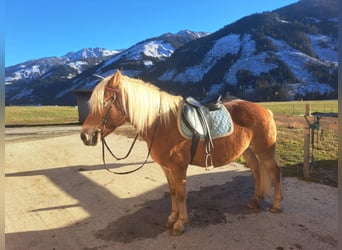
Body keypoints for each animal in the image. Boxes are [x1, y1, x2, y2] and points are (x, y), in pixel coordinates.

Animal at [81, 71, 284, 236]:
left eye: (105, 102)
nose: (86, 136)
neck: (161, 123)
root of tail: (265, 110)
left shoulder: (179, 168)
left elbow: (180, 194)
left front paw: (179, 224)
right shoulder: (166, 168)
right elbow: (172, 192)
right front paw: (172, 218)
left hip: (265, 151)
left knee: (274, 173)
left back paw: (276, 205)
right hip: (249, 151)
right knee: (257, 171)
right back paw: (254, 200)